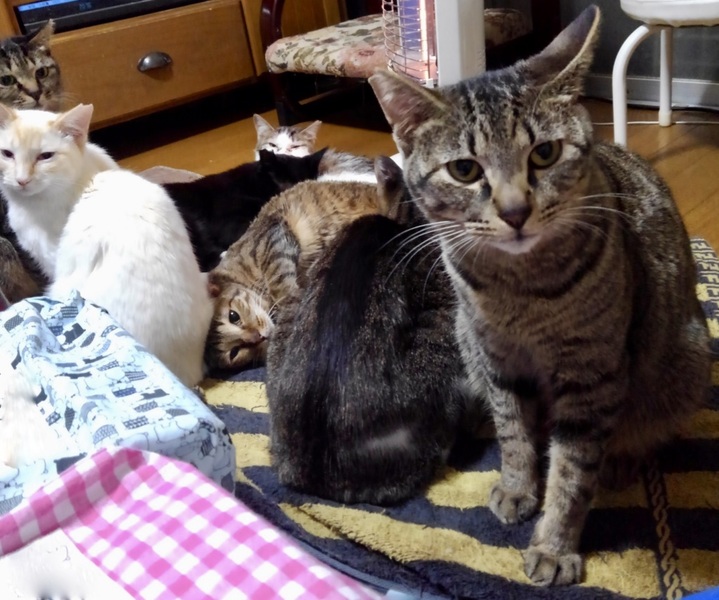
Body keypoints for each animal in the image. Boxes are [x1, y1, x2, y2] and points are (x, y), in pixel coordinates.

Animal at [370, 5, 711, 587]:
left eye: (545, 154)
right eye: (465, 169)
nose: (514, 211)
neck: (519, 291)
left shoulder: (590, 376)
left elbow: (572, 471)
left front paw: (554, 544)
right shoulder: (497, 358)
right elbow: (515, 434)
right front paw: (517, 485)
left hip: (683, 360)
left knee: (642, 429)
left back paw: (622, 457)